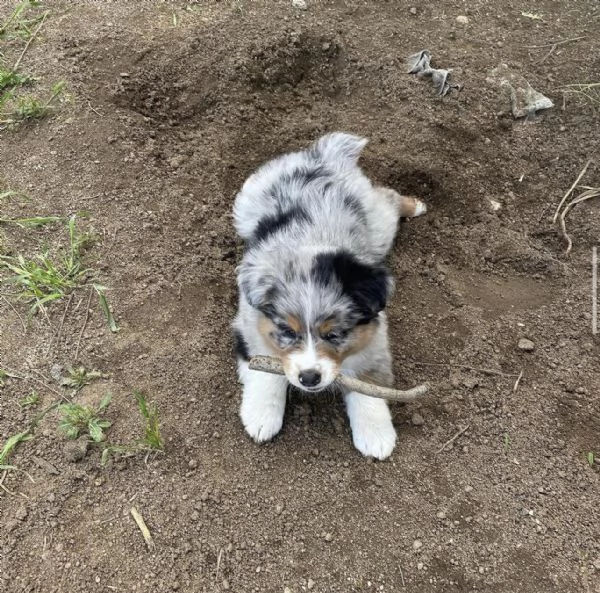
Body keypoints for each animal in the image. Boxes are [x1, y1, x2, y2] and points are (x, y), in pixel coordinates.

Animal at [232, 134, 424, 458]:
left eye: (335, 335)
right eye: (288, 332)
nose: (309, 379)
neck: (310, 246)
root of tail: (322, 158)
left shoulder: (375, 342)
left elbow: (367, 386)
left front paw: (375, 436)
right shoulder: (249, 325)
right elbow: (266, 367)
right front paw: (261, 416)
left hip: (379, 226)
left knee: (387, 196)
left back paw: (416, 205)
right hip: (245, 209)